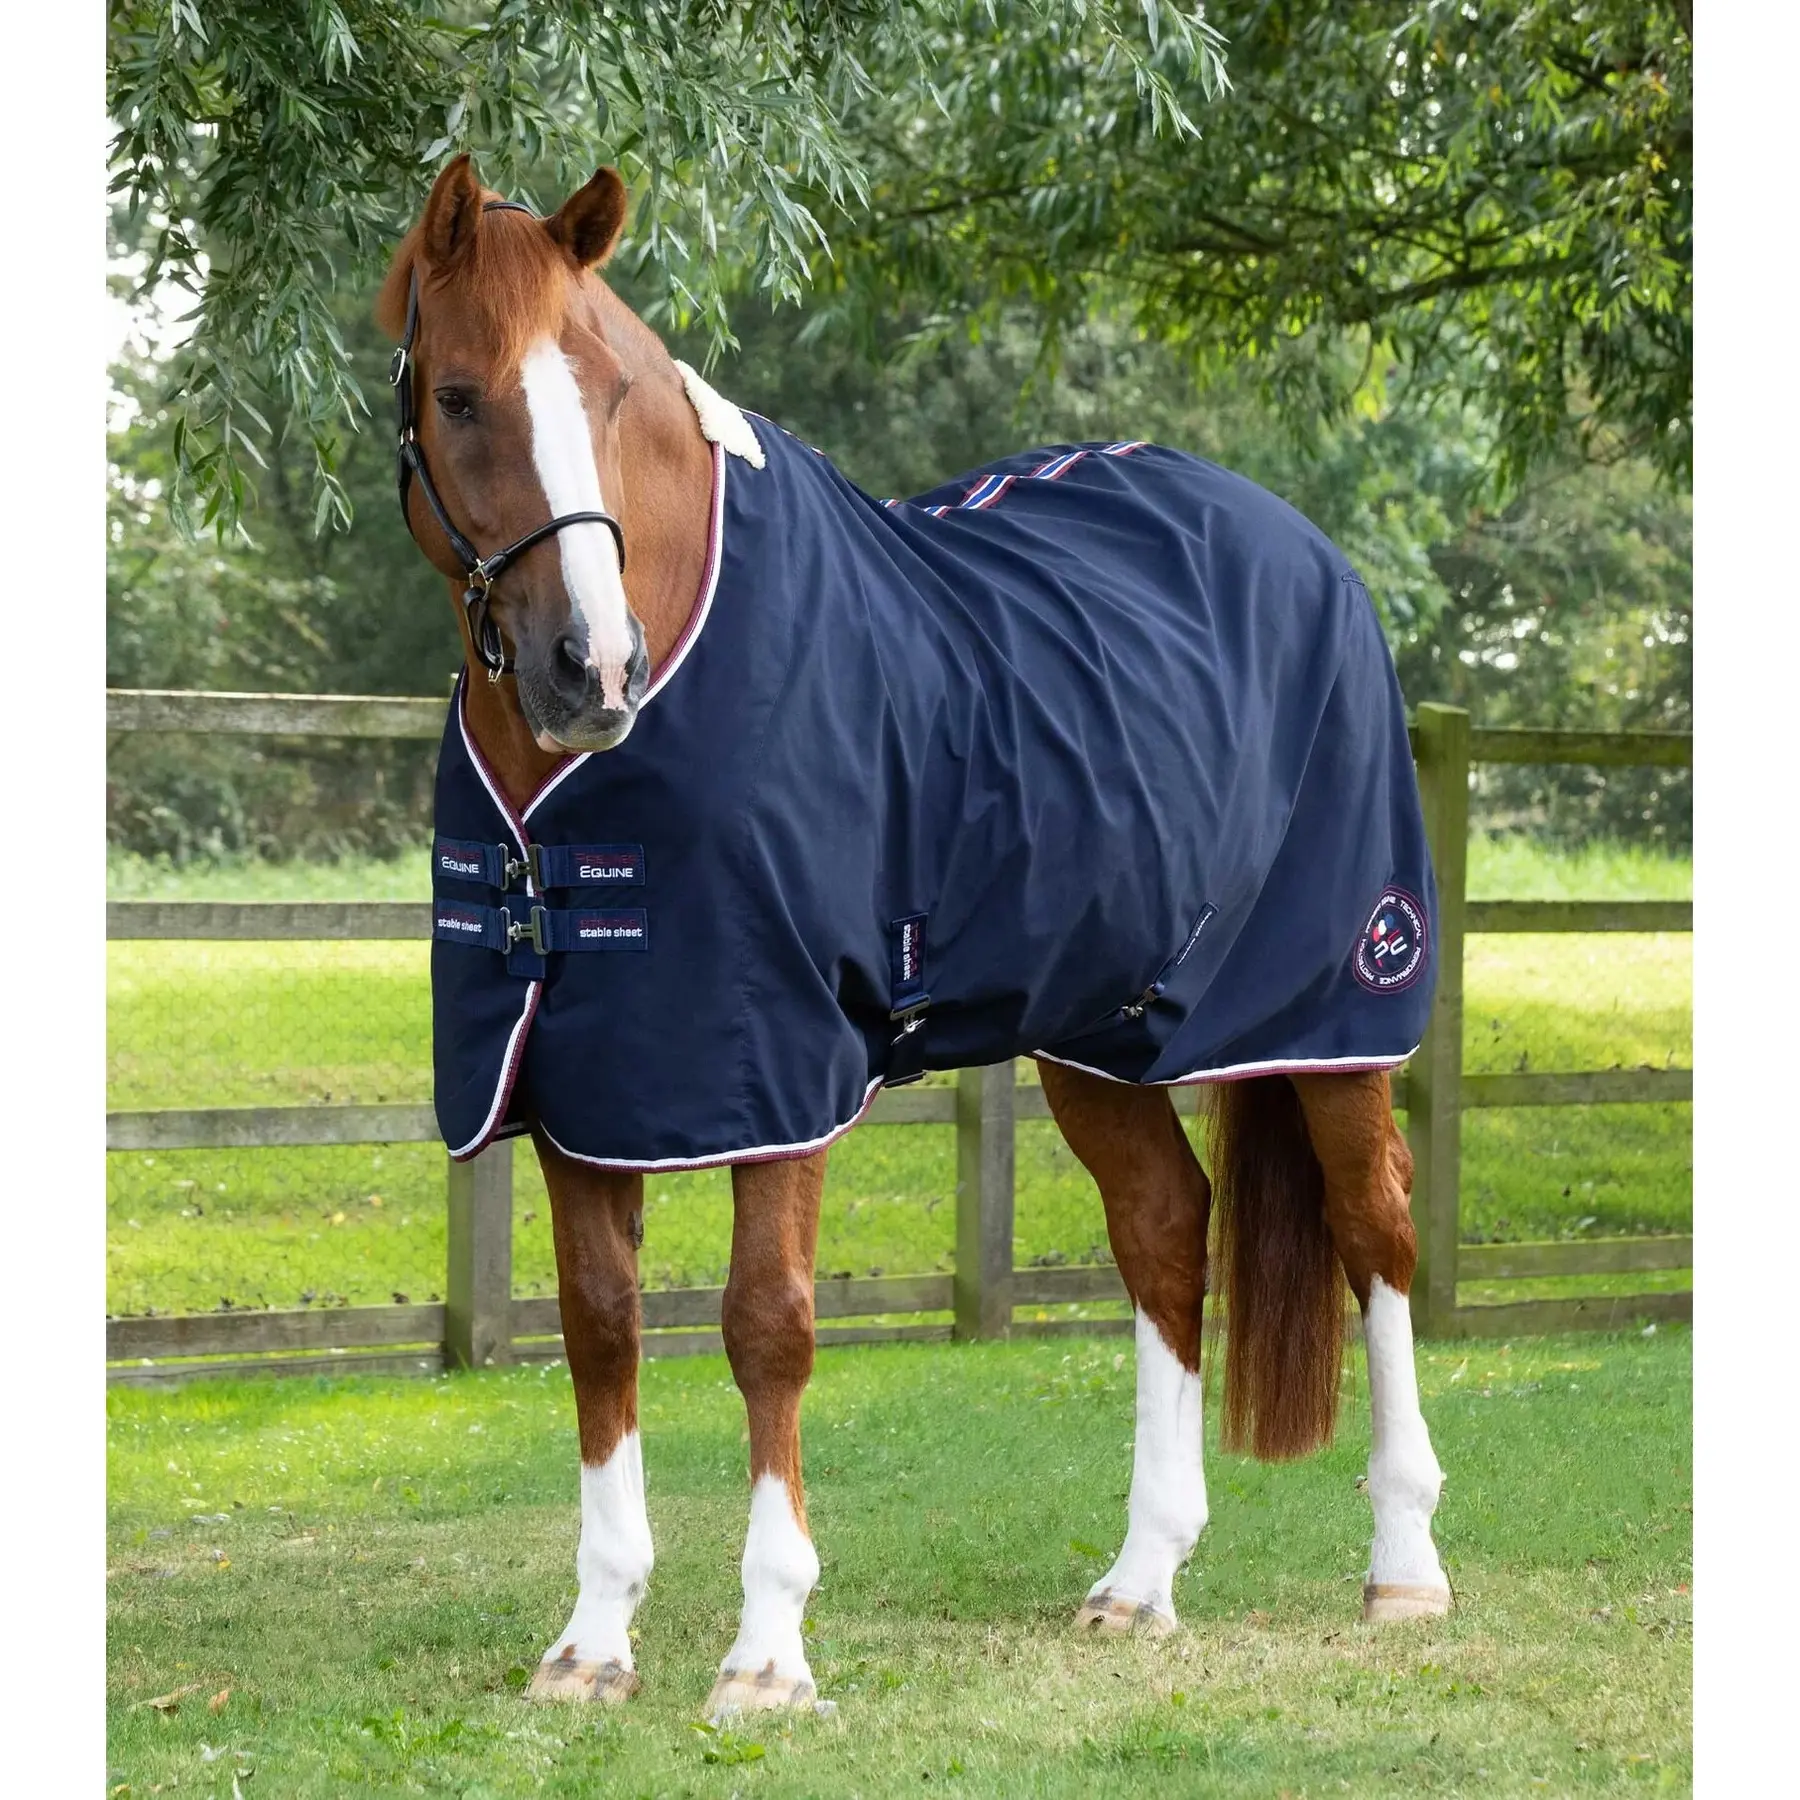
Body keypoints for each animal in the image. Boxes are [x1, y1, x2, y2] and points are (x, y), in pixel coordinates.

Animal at [377, 154, 1451, 1720]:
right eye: (459, 395)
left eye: (614, 394)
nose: (594, 670)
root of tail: (1301, 547)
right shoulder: (585, 1074)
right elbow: (600, 1325)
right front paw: (593, 1639)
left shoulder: (774, 1064)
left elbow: (767, 1324)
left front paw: (768, 1653)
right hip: (1101, 1031)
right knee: (1163, 1231)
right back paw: (1142, 1579)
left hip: (1336, 1010)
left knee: (1377, 1231)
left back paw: (1405, 1568)